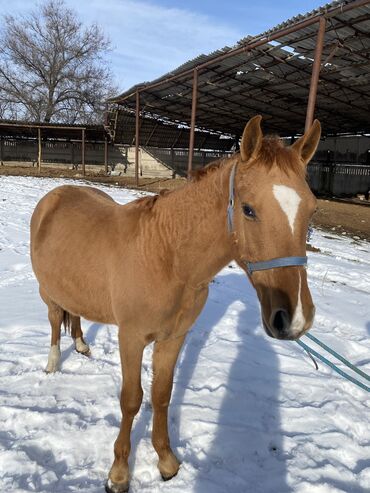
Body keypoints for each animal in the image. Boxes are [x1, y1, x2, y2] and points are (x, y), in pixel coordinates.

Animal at [31, 115, 320, 488]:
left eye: (311, 210)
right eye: (248, 209)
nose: (296, 317)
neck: (167, 255)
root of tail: (57, 194)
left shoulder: (173, 338)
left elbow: (161, 395)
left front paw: (166, 462)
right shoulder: (132, 338)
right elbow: (132, 400)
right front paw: (119, 472)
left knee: (76, 314)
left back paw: (81, 345)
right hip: (48, 291)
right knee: (55, 320)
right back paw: (53, 363)